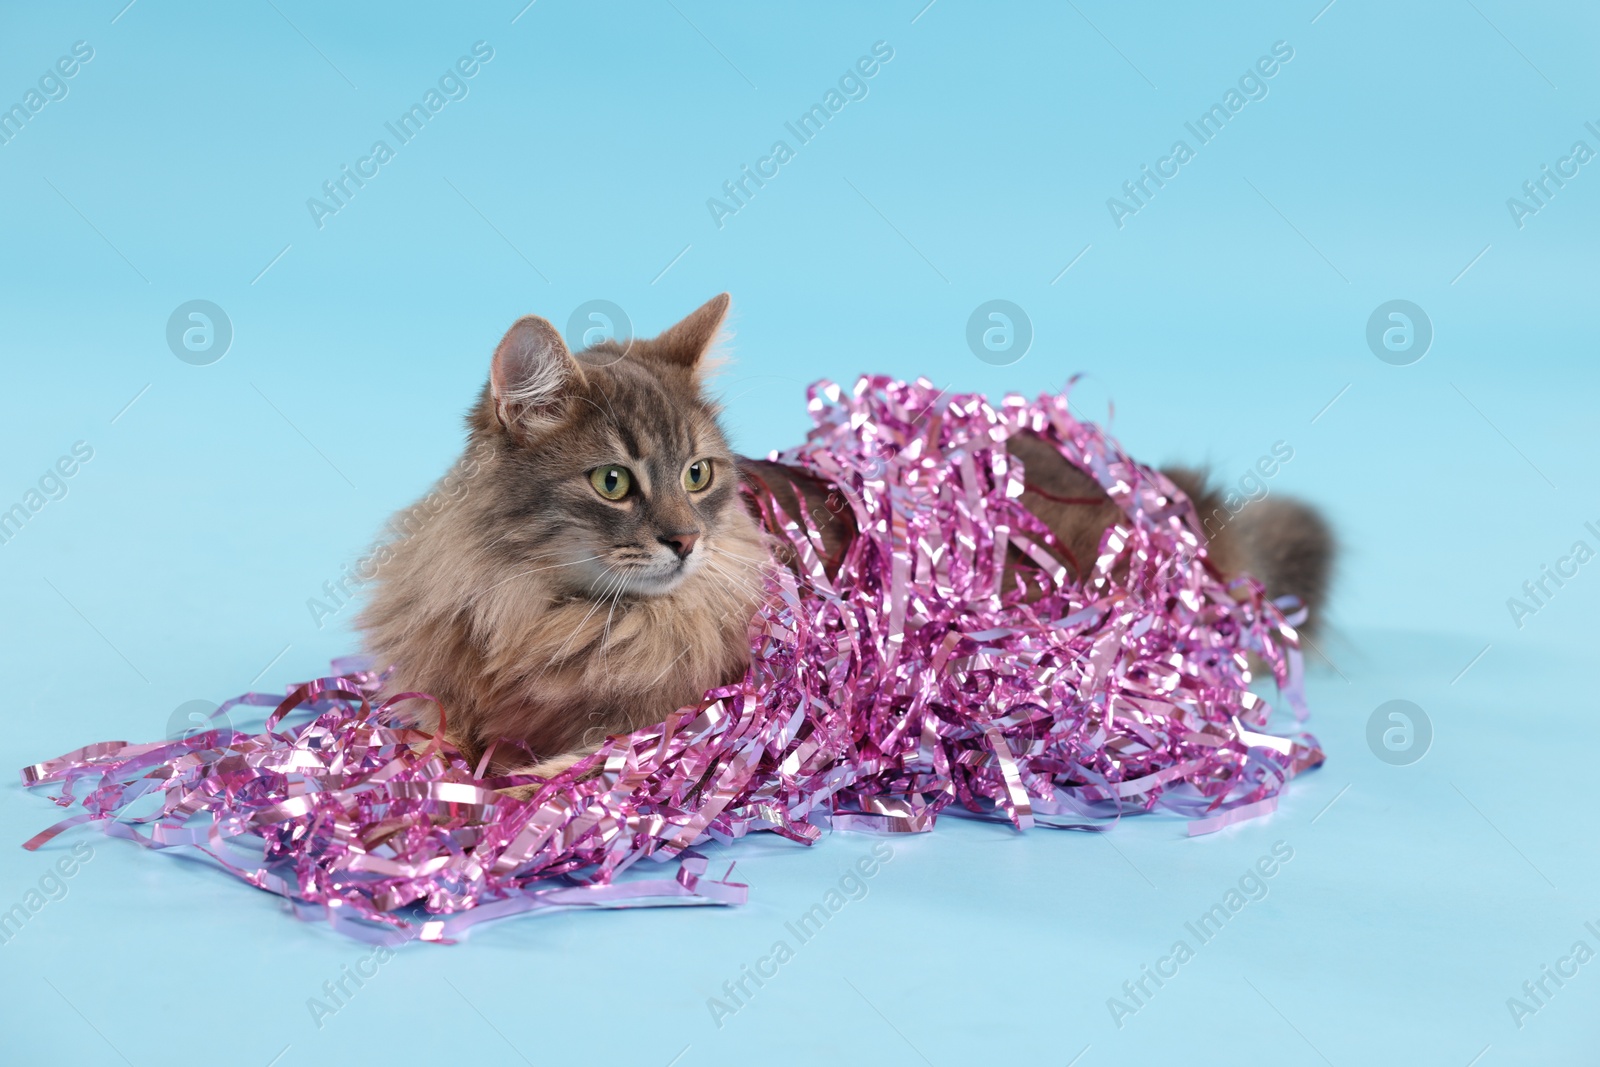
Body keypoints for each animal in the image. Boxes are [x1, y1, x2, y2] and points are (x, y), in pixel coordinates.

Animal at [356, 295, 1331, 790]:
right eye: (614, 483)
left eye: (698, 474)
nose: (684, 542)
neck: (542, 607)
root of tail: (1153, 498)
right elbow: (425, 737)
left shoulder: (677, 727)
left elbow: (544, 779)